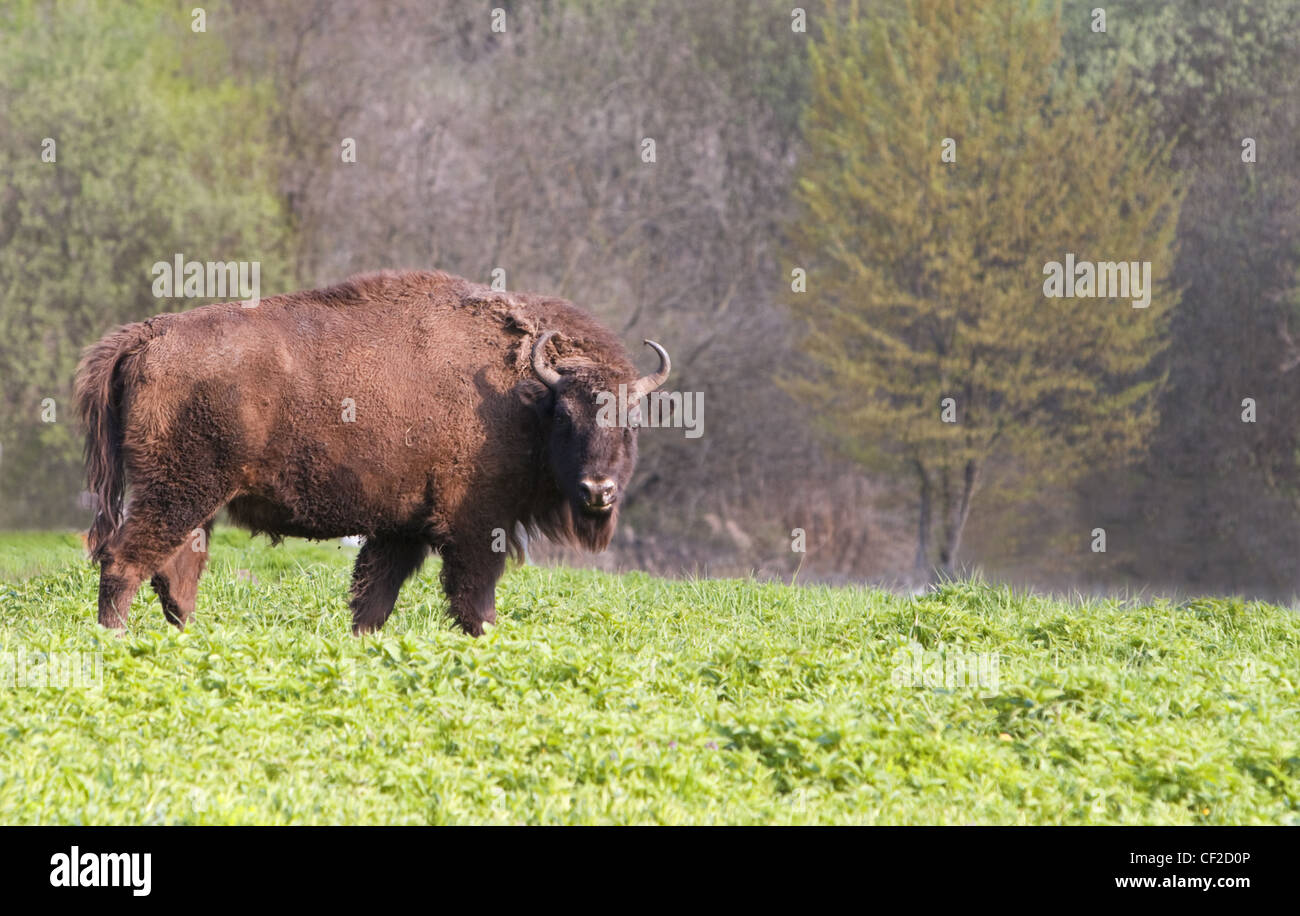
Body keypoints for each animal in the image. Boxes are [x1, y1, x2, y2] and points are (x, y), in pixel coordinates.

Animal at [75, 270, 669, 635]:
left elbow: (372, 600)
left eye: (632, 422)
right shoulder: (477, 528)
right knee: (126, 562)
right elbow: (474, 604)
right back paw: (116, 639)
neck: (522, 393)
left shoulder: (400, 530)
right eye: (565, 417)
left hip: (193, 502)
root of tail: (148, 334)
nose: (597, 490)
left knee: (175, 576)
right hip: (180, 492)